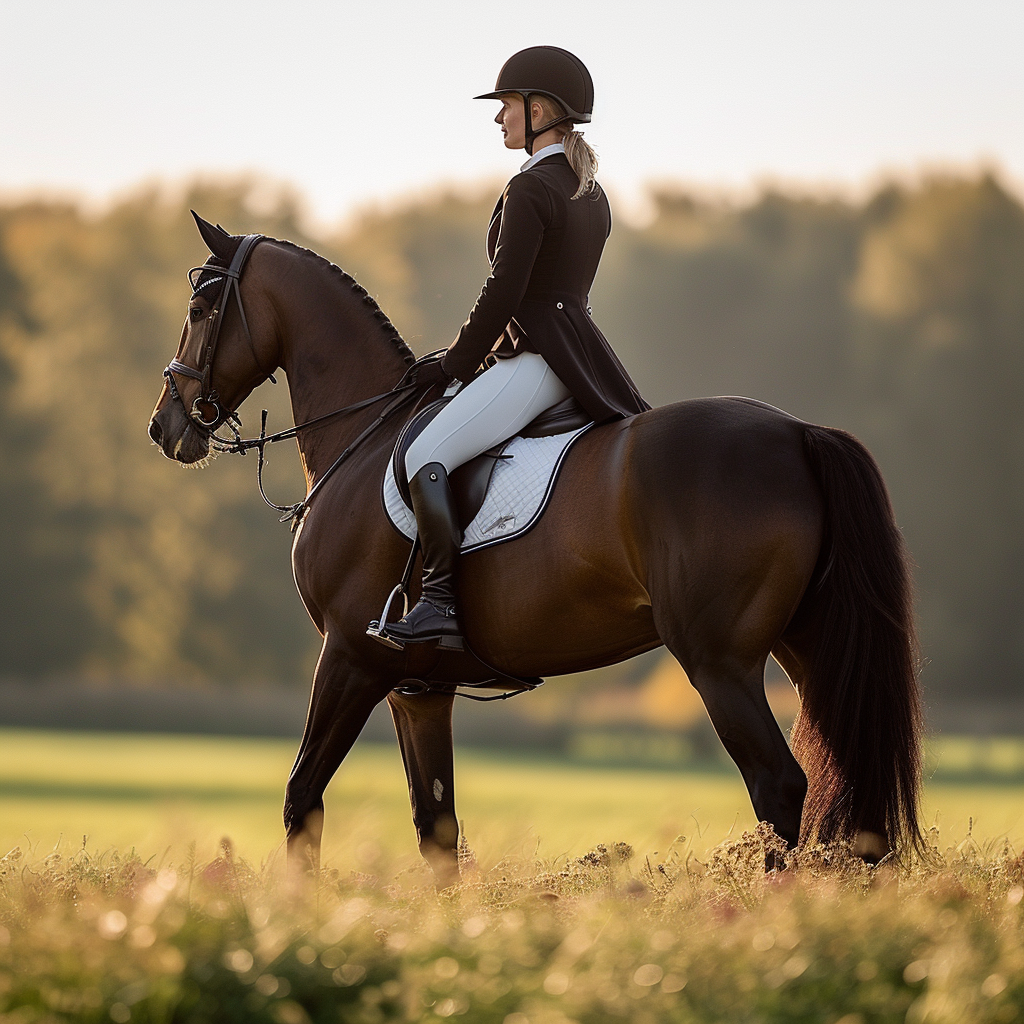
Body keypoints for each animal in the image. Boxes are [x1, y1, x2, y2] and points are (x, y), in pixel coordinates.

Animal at [148, 216, 923, 883]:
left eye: (202, 305)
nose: (165, 426)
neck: (362, 437)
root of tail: (797, 433)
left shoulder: (350, 656)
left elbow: (301, 798)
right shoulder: (416, 689)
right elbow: (437, 830)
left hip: (718, 662)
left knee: (778, 787)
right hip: (807, 644)